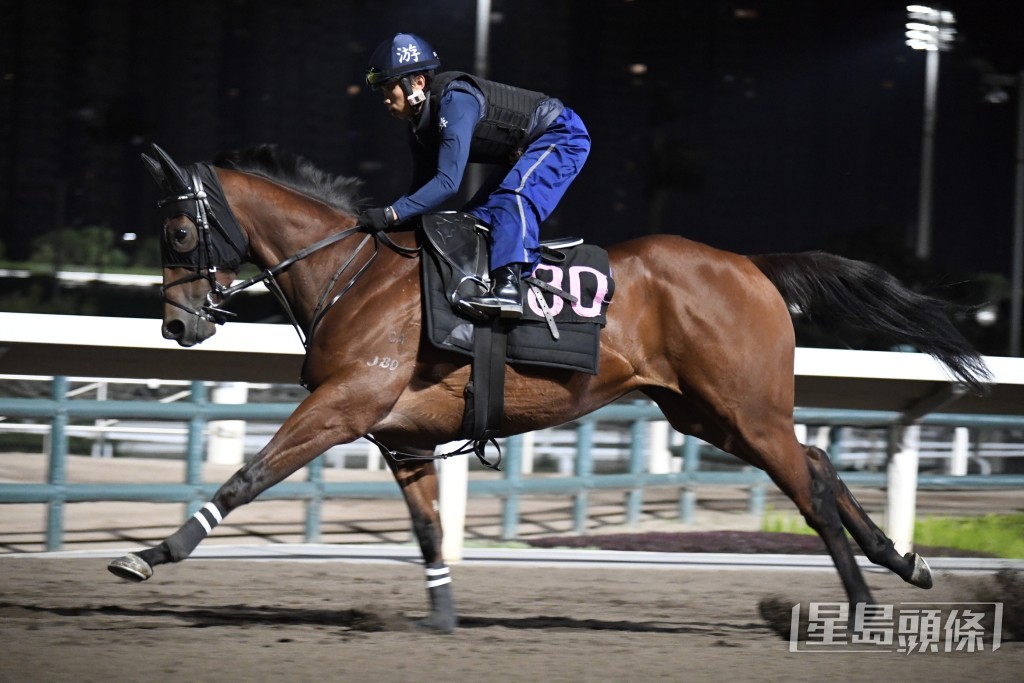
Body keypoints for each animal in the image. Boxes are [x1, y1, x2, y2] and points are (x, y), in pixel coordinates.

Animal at [110, 141, 991, 634]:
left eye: (179, 231)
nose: (178, 327)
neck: (352, 273)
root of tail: (751, 264)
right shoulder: (401, 433)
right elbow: (428, 528)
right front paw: (443, 617)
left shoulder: (345, 403)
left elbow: (249, 475)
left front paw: (152, 553)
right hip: (710, 412)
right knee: (819, 461)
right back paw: (906, 562)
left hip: (744, 406)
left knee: (809, 486)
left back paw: (861, 602)